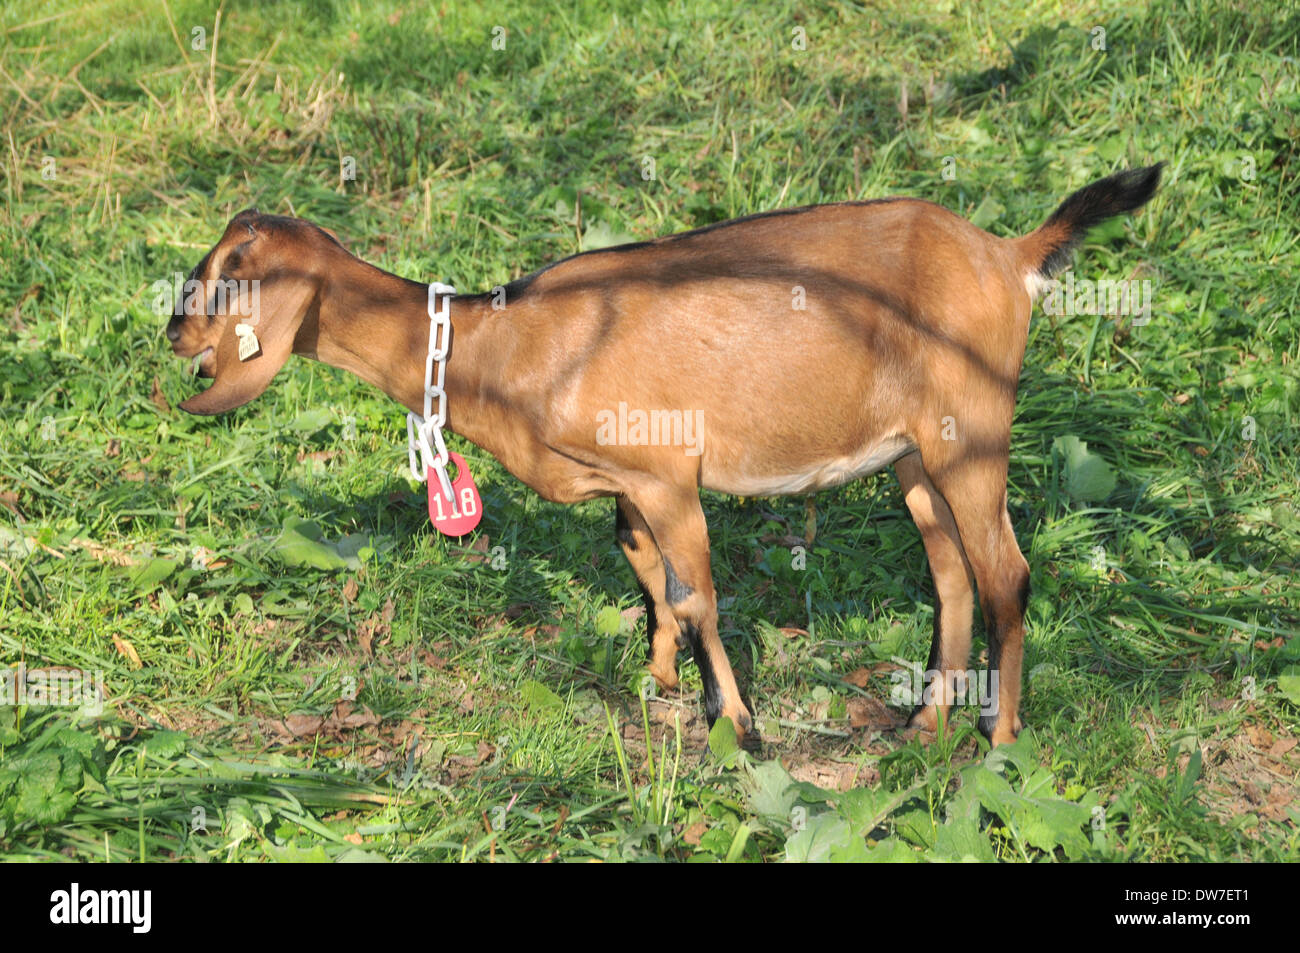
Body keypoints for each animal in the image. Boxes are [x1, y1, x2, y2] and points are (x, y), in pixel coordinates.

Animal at [166, 164, 1162, 749]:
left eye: (227, 271)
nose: (172, 332)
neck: (504, 342)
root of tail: (1008, 255)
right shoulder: (628, 484)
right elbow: (643, 566)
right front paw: (661, 684)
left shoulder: (668, 470)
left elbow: (695, 592)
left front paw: (741, 725)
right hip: (914, 453)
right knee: (952, 573)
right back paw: (921, 724)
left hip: (971, 428)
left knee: (1006, 574)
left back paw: (1000, 741)